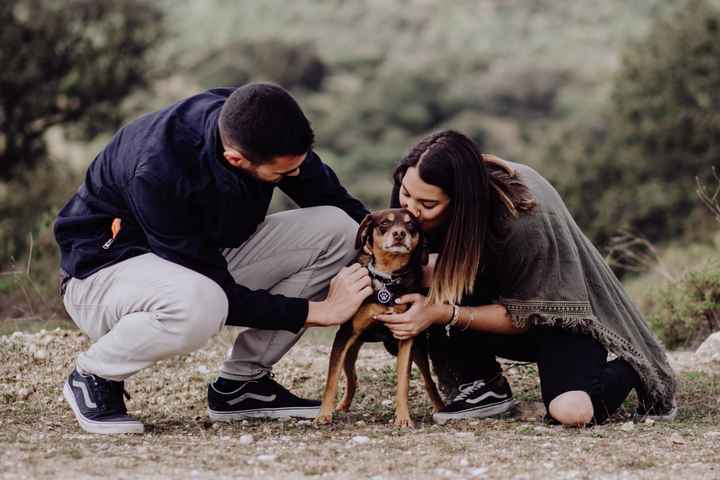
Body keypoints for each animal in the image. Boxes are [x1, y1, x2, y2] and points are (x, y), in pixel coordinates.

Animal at [316, 208, 444, 426]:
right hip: (350, 351)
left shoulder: (405, 336)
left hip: (418, 350)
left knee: (429, 381)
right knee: (352, 379)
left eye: (411, 225)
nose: (399, 234)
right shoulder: (344, 335)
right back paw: (342, 406)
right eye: (384, 223)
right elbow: (332, 379)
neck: (387, 278)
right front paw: (323, 414)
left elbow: (403, 382)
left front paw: (403, 418)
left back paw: (441, 407)